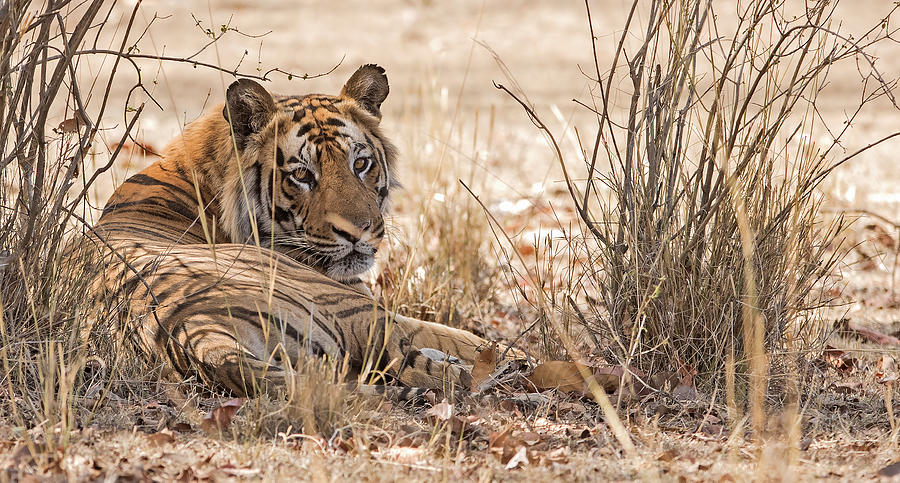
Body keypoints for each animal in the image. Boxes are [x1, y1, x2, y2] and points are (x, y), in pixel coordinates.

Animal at [94, 64, 510, 398]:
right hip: (358, 313)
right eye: (302, 175)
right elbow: (452, 334)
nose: (356, 232)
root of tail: (191, 327)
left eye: (361, 163)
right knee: (437, 366)